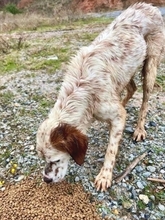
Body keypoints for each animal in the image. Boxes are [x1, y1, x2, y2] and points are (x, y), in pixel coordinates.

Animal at [35, 2, 164, 191]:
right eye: (43, 159)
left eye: (56, 160)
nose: (46, 179)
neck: (80, 90)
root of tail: (149, 6)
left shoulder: (116, 114)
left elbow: (111, 149)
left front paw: (105, 175)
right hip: (125, 73)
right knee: (132, 88)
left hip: (150, 66)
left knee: (145, 100)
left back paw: (139, 129)